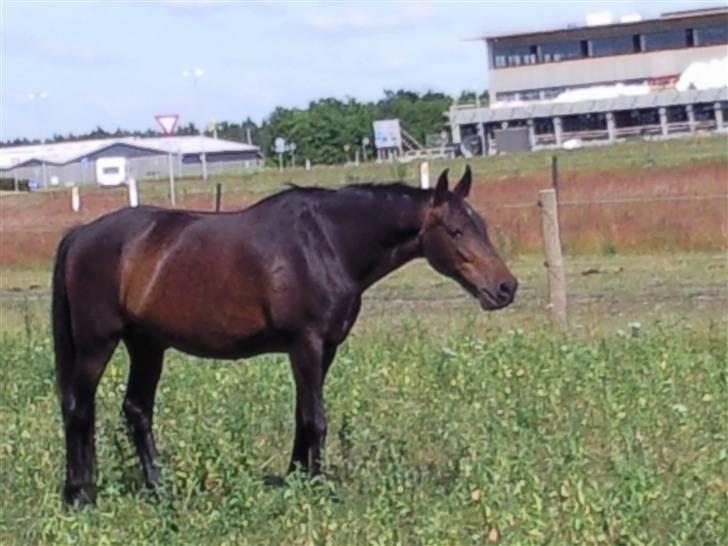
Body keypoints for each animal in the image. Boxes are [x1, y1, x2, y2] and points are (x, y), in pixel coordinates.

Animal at [52, 164, 516, 504]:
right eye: (456, 231)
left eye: (482, 226)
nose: (505, 288)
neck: (326, 243)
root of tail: (80, 235)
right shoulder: (305, 344)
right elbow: (316, 418)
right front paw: (318, 487)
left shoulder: (324, 349)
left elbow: (302, 414)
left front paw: (297, 477)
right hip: (98, 344)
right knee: (79, 407)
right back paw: (80, 494)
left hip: (148, 345)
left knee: (136, 410)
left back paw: (158, 489)